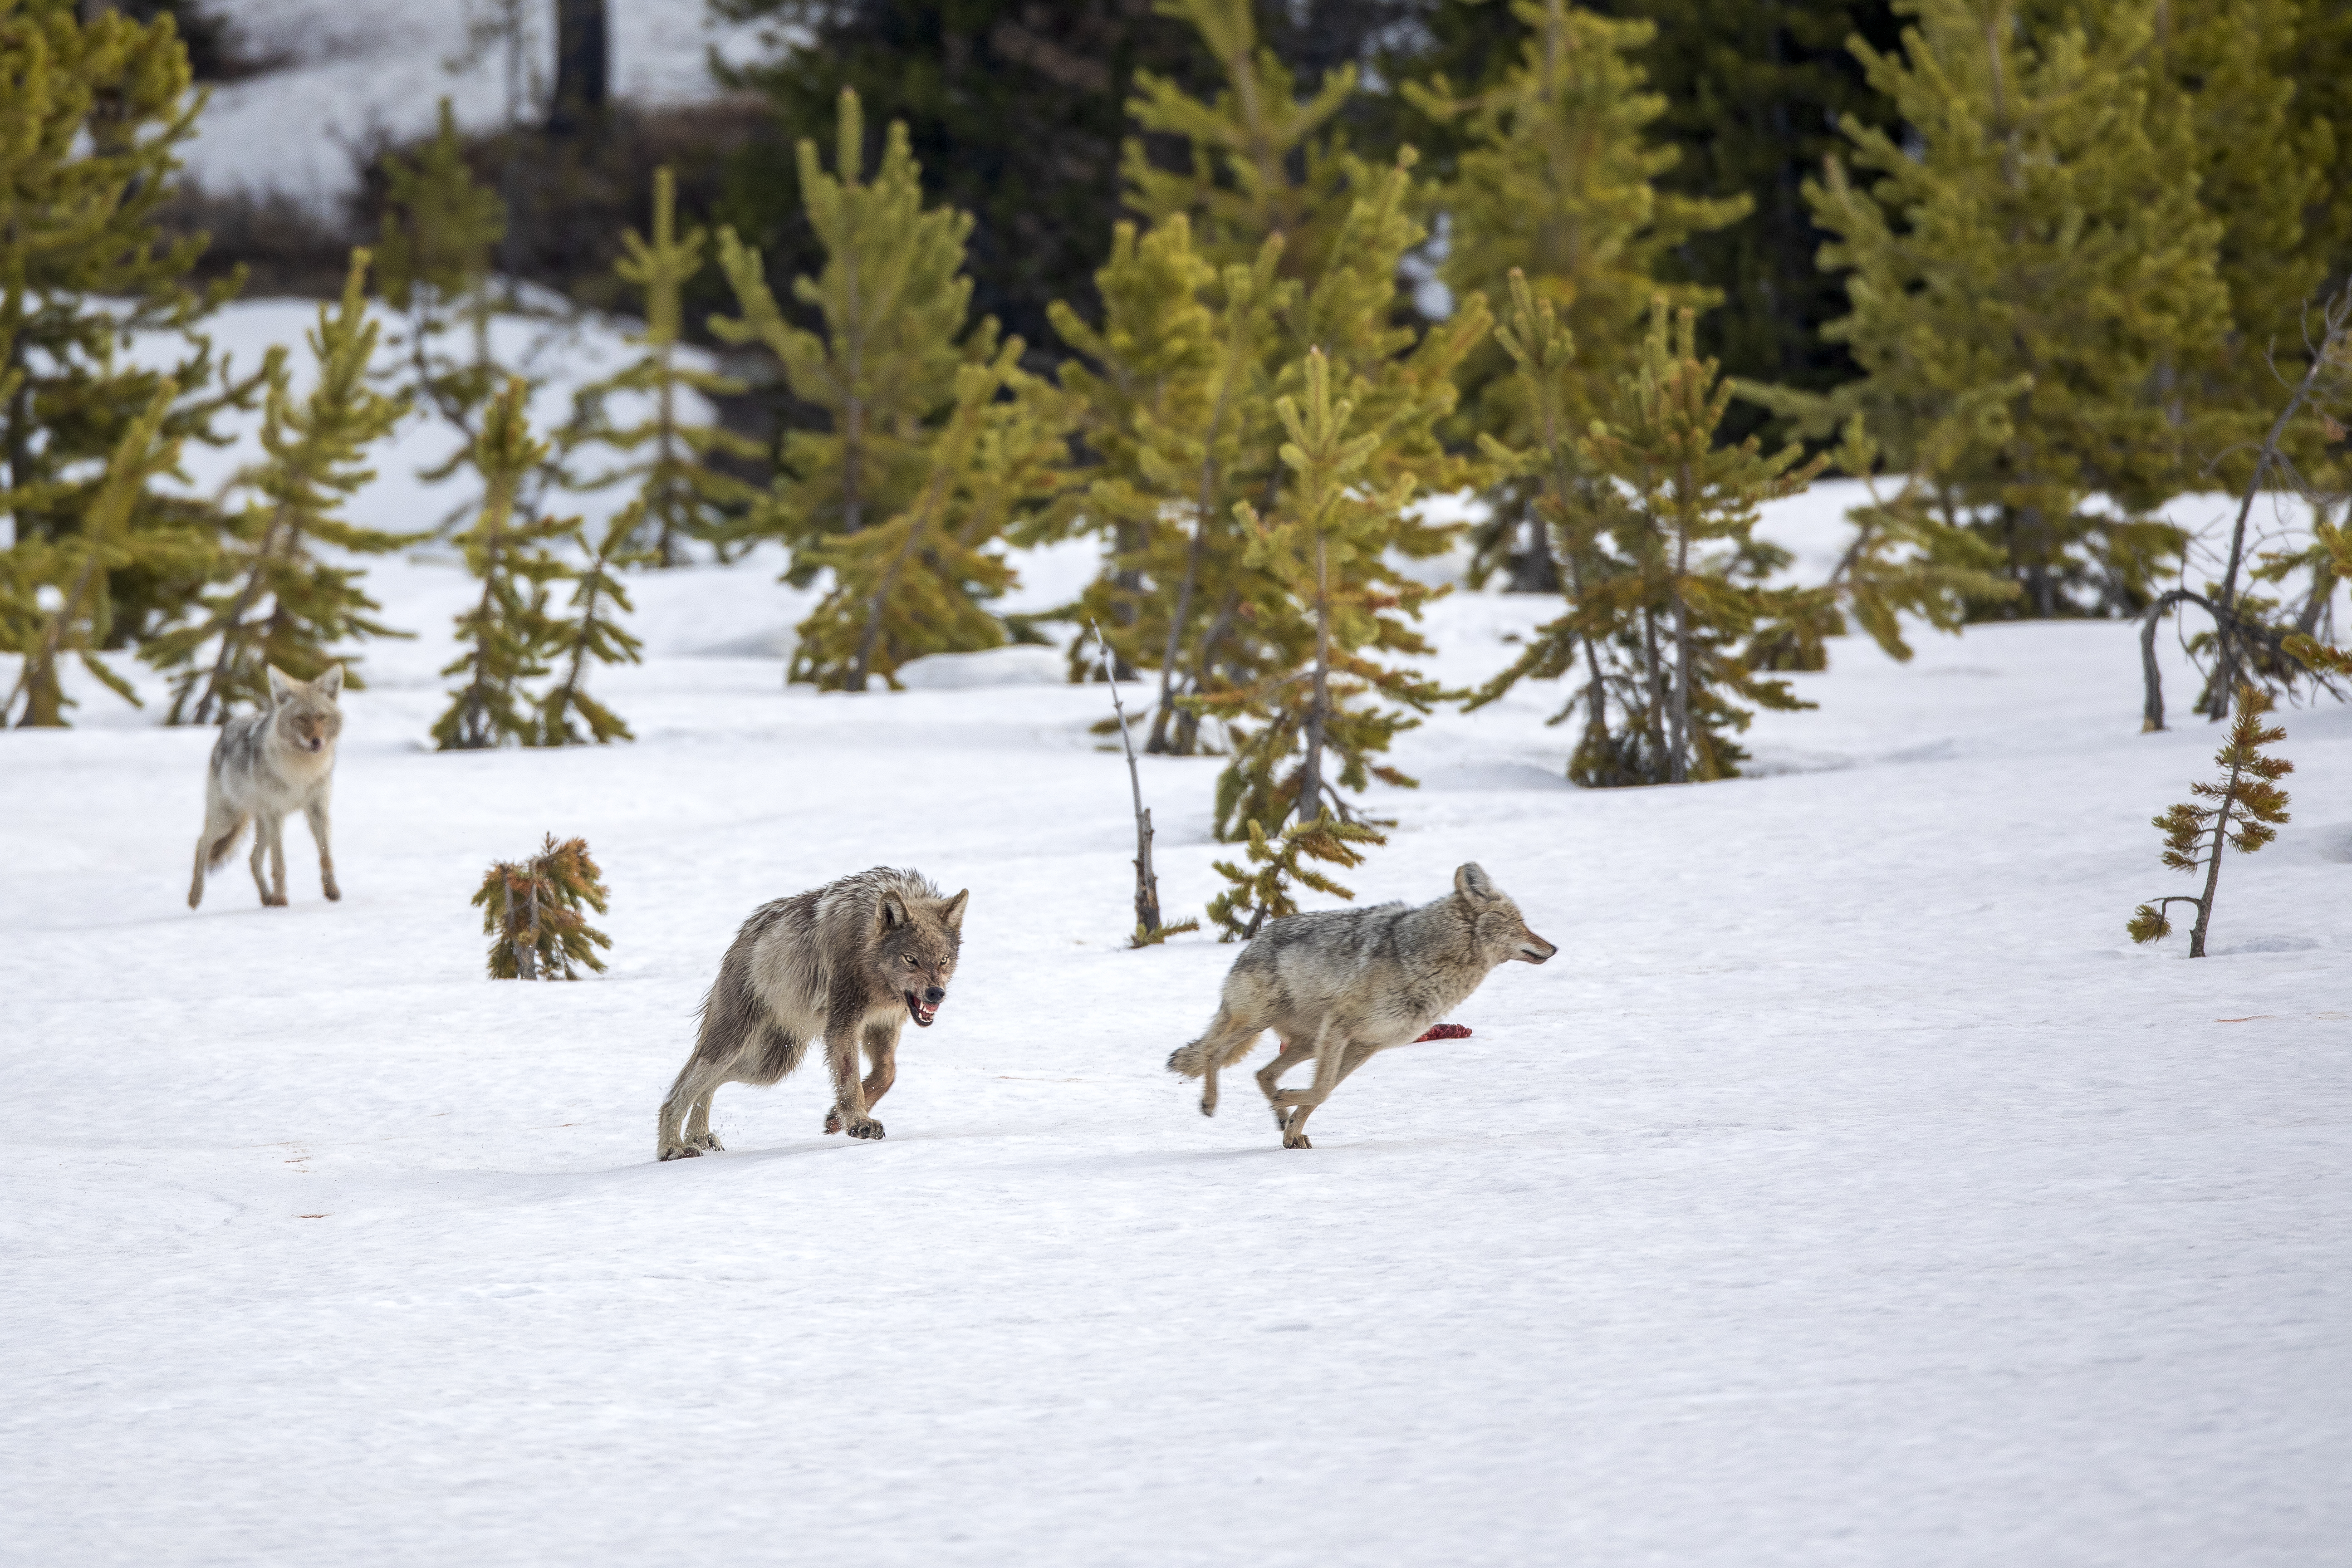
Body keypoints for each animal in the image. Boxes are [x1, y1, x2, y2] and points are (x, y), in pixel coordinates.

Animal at [188, 664, 345, 910]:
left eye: (322, 717)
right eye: (301, 718)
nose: (316, 742)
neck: (301, 773)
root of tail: (226, 729)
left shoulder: (318, 812)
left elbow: (326, 856)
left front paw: (332, 892)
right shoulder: (276, 815)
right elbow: (279, 863)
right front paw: (281, 900)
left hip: (259, 825)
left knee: (252, 859)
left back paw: (267, 898)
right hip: (229, 820)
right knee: (202, 843)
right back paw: (195, 898)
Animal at [657, 867, 969, 1162]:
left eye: (943, 960)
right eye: (910, 959)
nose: (936, 993)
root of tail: (743, 933)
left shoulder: (883, 1025)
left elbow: (887, 1073)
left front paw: (837, 1119)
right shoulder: (842, 1025)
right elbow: (849, 1077)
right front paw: (859, 1122)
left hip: (772, 1065)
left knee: (707, 1084)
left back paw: (699, 1137)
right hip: (738, 1048)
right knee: (678, 1092)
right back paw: (673, 1148)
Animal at [1167, 863, 1556, 1148]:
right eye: (1521, 923)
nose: (1554, 948)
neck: (1423, 961)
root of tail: (1254, 941)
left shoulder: (1366, 1046)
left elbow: (1321, 1094)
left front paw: (1291, 1126)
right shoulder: (1341, 1029)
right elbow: (1321, 1090)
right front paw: (1286, 1107)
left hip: (1307, 1044)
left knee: (1261, 1072)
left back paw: (1280, 1116)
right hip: (1262, 1023)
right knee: (1214, 1052)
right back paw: (1211, 1103)